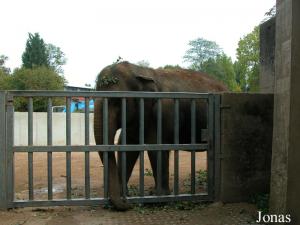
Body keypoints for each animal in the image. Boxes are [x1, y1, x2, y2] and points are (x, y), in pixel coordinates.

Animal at [94, 61, 227, 209]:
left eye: (116, 102)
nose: (127, 203)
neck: (143, 71)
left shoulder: (165, 111)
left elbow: (156, 146)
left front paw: (157, 197)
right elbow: (128, 147)